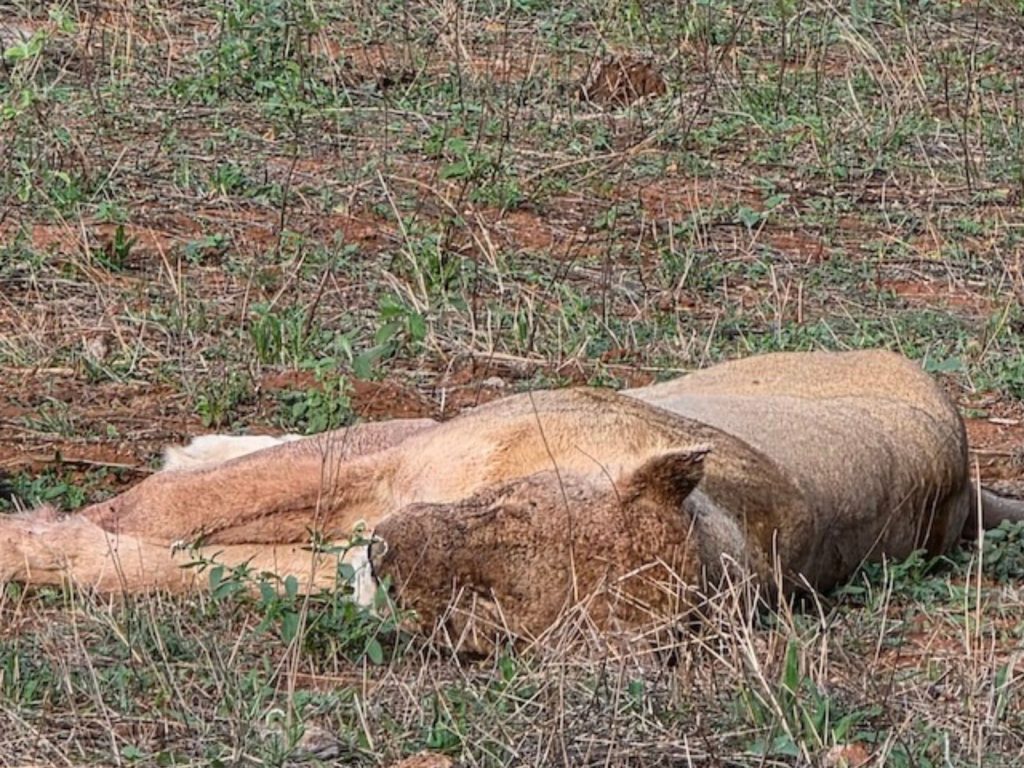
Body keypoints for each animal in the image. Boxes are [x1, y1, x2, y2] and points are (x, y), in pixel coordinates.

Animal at [1, 350, 1021, 648]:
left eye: (490, 610)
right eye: (509, 513)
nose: (383, 558)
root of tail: (968, 481)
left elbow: (166, 564)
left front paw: (45, 550)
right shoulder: (394, 463)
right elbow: (163, 515)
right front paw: (30, 534)